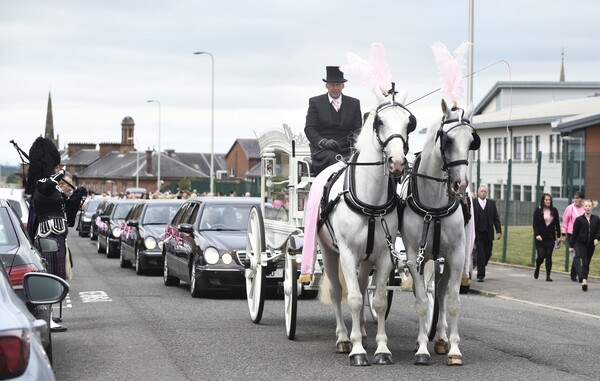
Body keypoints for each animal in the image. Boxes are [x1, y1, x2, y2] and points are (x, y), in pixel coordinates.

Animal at [318, 92, 412, 366]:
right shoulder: (348, 253)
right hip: (329, 251)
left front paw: (382, 349)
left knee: (360, 286)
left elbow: (377, 302)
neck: (371, 200)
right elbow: (354, 299)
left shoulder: (384, 255)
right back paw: (343, 338)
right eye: (379, 122)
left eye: (409, 123)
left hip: (367, 258)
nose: (397, 163)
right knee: (338, 292)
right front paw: (357, 350)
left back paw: (361, 332)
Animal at [400, 98, 480, 366]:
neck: (433, 205)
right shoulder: (414, 256)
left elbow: (453, 301)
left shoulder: (456, 255)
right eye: (448, 140)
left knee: (442, 291)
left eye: (471, 141)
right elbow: (422, 302)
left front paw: (454, 349)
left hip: (442, 257)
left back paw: (442, 338)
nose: (460, 185)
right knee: (424, 293)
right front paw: (422, 349)